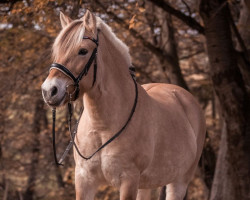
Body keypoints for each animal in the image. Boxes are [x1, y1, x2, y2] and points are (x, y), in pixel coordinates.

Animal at [41, 10, 205, 200]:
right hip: (145, 184)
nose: (49, 91)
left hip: (179, 181)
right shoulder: (84, 179)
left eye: (83, 51)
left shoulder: (128, 180)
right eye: (57, 51)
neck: (102, 126)